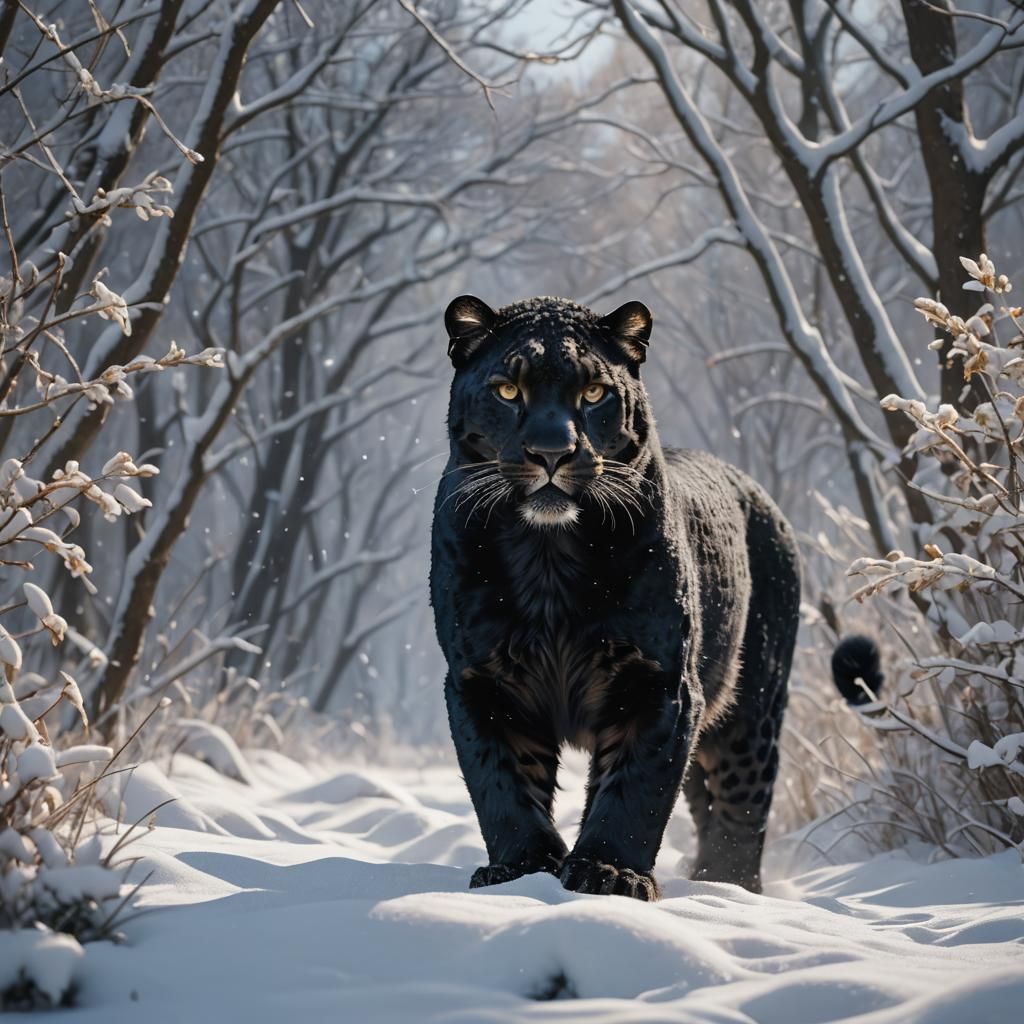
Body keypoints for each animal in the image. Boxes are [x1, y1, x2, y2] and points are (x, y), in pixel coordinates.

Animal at [430, 292, 872, 901]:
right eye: (507, 390)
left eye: (594, 392)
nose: (551, 452)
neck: (548, 560)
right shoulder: (481, 683)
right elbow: (503, 784)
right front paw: (519, 871)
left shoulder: (656, 682)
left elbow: (634, 789)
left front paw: (609, 874)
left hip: (752, 705)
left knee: (741, 804)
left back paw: (727, 886)